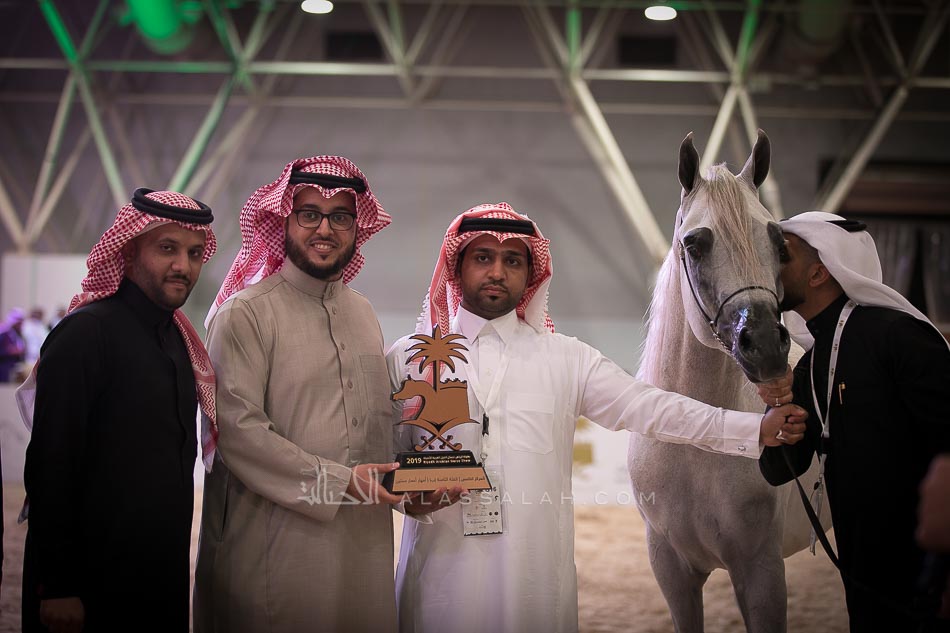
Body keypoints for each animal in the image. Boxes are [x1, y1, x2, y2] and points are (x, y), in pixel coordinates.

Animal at [628, 130, 825, 632]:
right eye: (695, 243)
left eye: (778, 241)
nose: (766, 345)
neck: (696, 438)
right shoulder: (672, 572)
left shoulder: (760, 572)